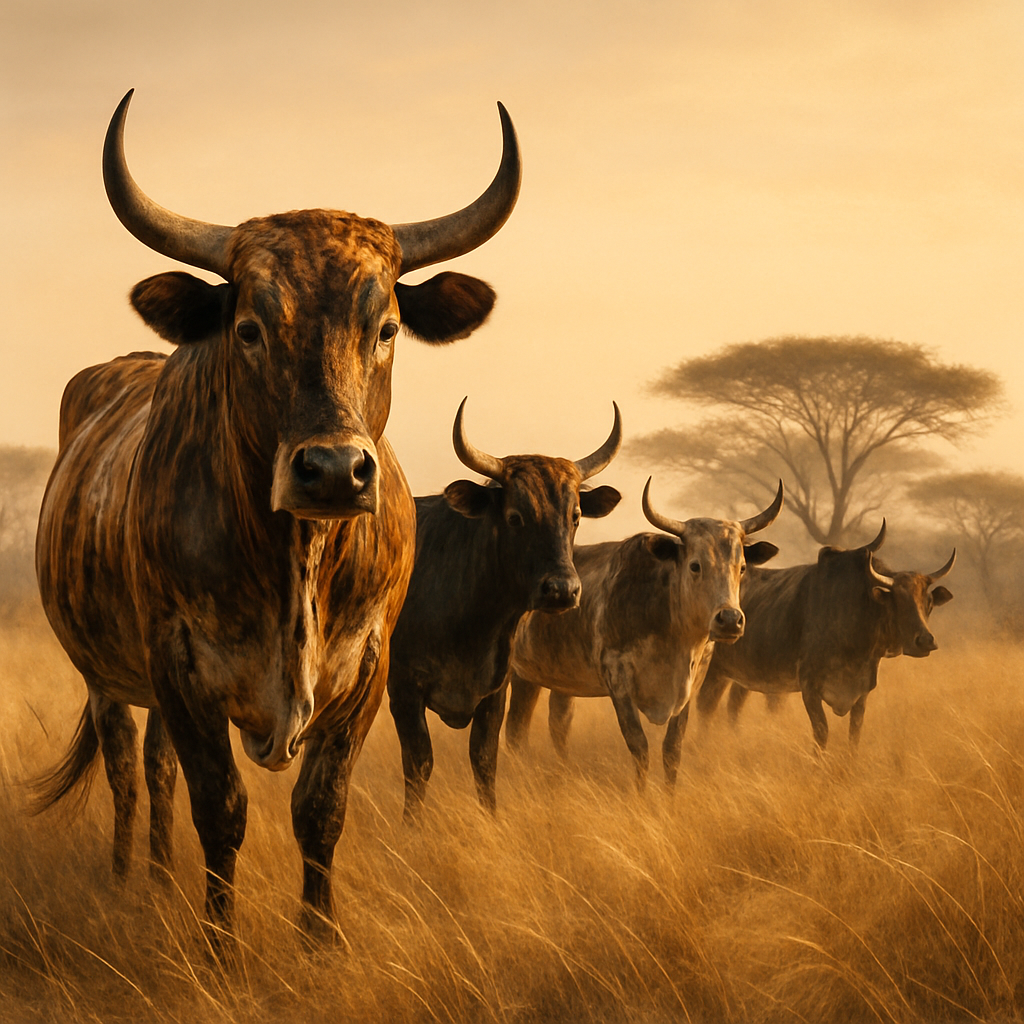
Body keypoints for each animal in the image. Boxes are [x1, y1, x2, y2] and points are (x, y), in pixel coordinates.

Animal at [32, 90, 521, 946]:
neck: (295, 557)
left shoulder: (367, 671)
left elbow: (320, 811)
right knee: (129, 770)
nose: (332, 470)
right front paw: (219, 946)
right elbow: (220, 810)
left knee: (154, 768)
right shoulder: (179, 665)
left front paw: (319, 940)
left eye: (386, 328)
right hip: (105, 675)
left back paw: (159, 877)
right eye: (251, 328)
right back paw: (129, 879)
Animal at [387, 399, 622, 820]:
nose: (562, 590)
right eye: (515, 517)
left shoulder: (495, 690)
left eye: (575, 516)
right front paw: (411, 825)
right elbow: (418, 763)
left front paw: (491, 818)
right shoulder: (403, 690)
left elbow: (484, 760)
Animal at [504, 480, 783, 787]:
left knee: (557, 723)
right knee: (516, 730)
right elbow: (639, 745)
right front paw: (642, 794)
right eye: (695, 565)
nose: (730, 620)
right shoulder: (618, 681)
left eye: (742, 567)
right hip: (518, 675)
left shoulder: (692, 683)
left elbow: (672, 749)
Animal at [696, 535, 955, 749]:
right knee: (705, 709)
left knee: (730, 708)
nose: (926, 641)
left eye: (928, 602)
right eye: (899, 600)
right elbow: (821, 733)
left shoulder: (861, 693)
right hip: (714, 673)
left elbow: (854, 736)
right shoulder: (810, 689)